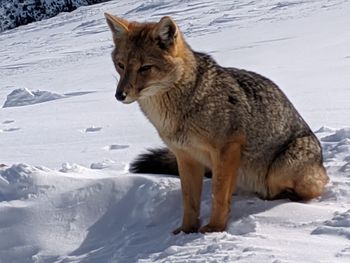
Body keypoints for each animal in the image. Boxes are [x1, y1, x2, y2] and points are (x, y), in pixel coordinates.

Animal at [103, 13, 328, 234]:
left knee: (304, 190)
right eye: (121, 65)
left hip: (279, 170)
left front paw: (215, 228)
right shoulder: (185, 156)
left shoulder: (227, 149)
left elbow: (218, 194)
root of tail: (322, 164)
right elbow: (189, 201)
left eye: (145, 68)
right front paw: (186, 231)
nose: (119, 95)